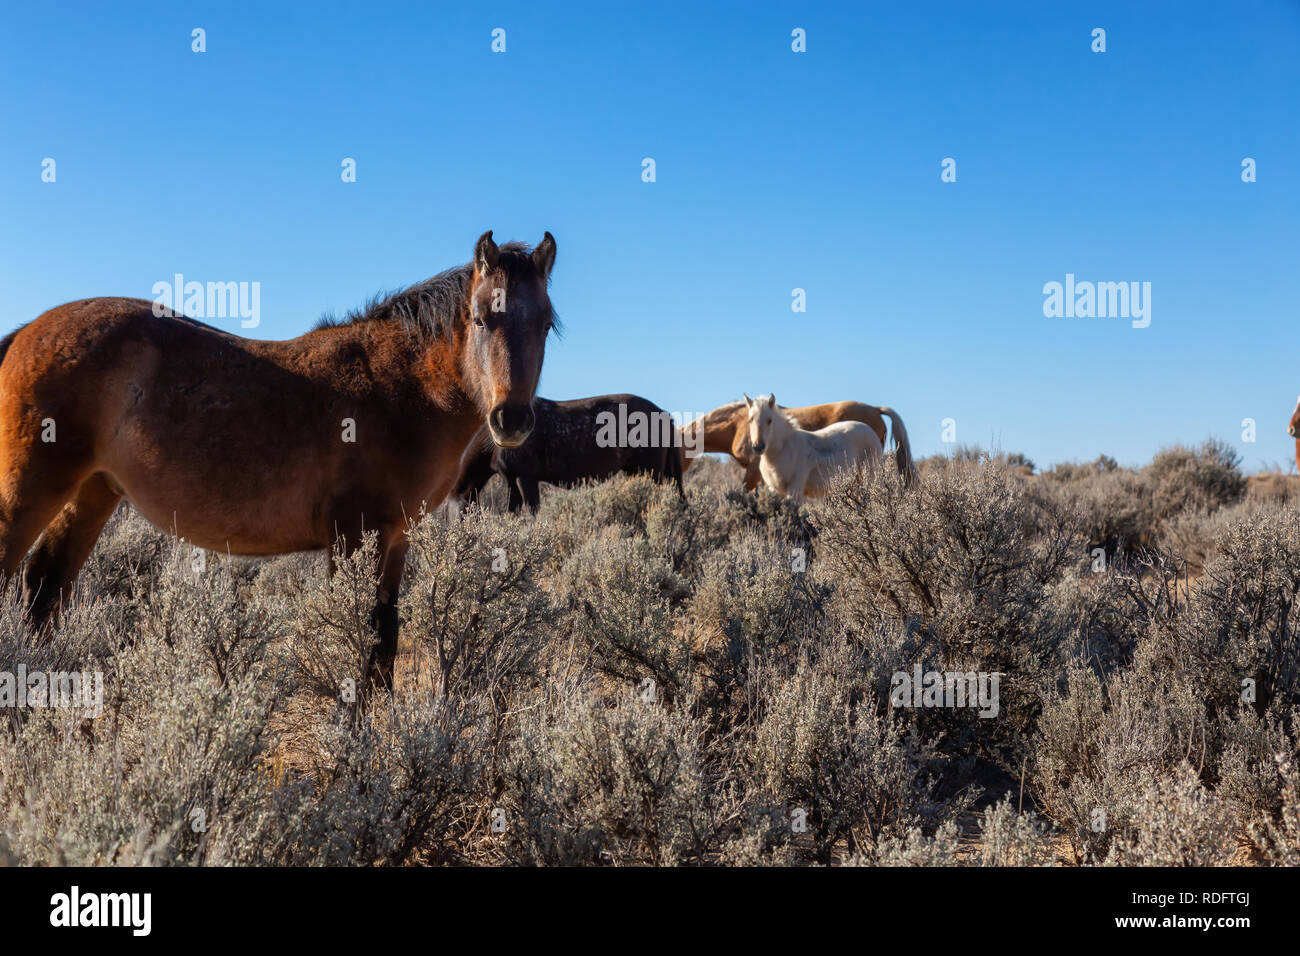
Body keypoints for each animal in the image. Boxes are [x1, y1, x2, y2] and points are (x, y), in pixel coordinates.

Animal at [0, 230, 557, 688]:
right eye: (481, 318)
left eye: (546, 324)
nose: (511, 419)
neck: (401, 388)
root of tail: (27, 333)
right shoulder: (354, 535)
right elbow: (358, 639)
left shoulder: (395, 538)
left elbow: (385, 642)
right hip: (30, 490)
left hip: (93, 493)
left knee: (45, 586)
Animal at [453, 393, 685, 512]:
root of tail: (664, 415)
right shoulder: (512, 480)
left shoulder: (525, 478)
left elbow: (532, 512)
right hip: (637, 472)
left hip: (651, 473)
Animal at [744, 393, 884, 503]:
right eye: (750, 420)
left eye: (770, 420)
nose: (758, 446)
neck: (785, 448)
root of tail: (871, 432)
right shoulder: (775, 491)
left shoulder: (795, 490)